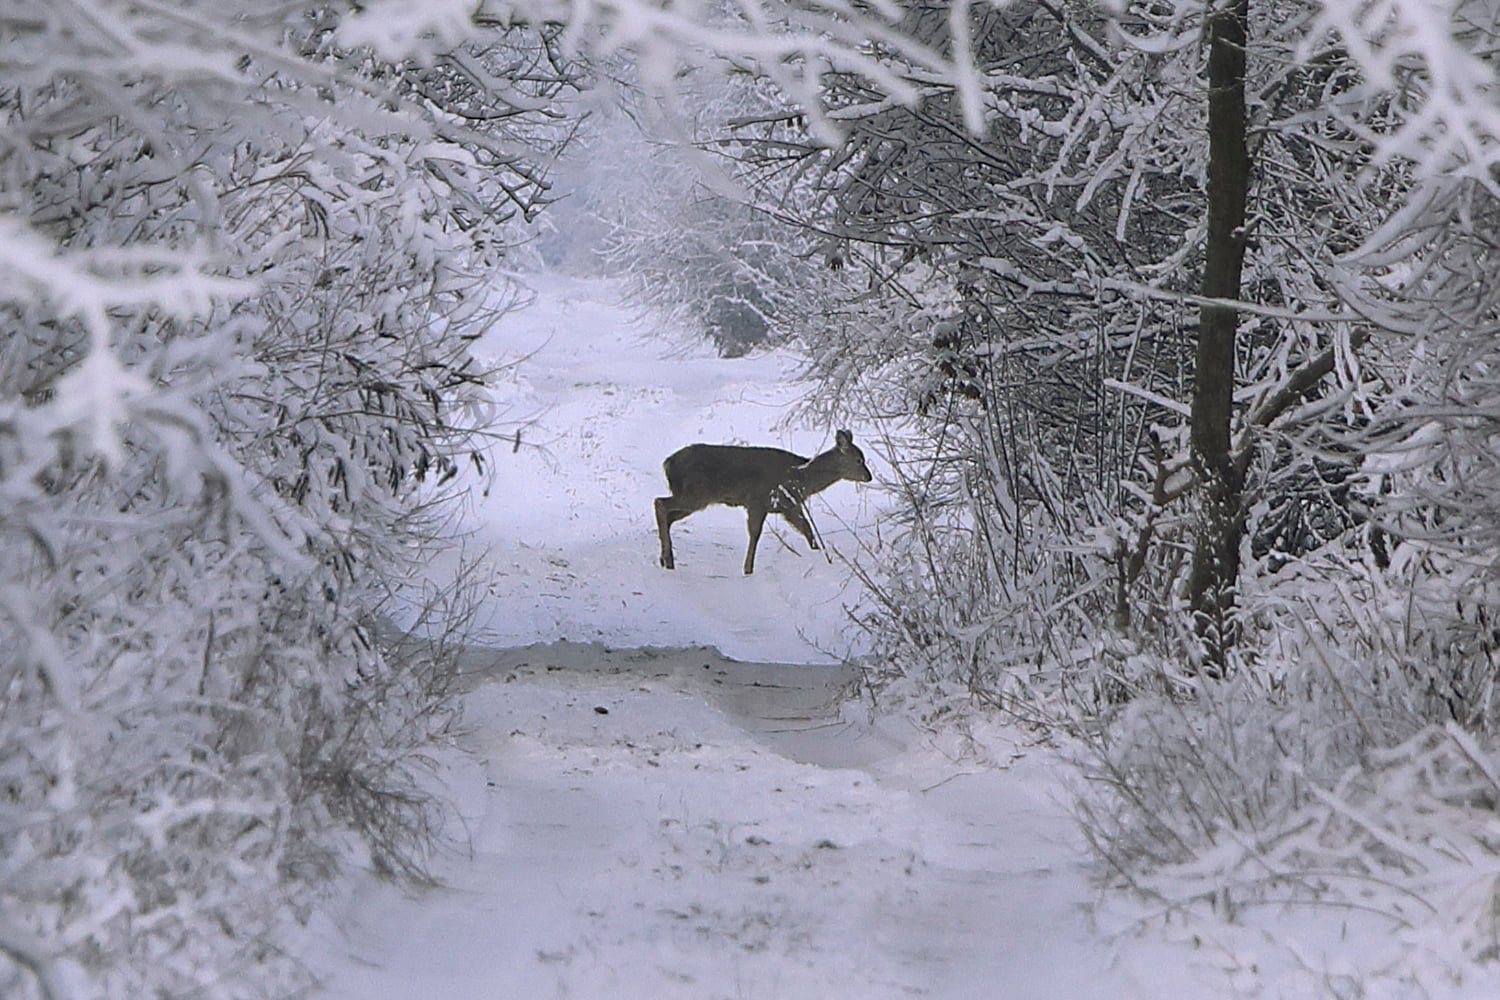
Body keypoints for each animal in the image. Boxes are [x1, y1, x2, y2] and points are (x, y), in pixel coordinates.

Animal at [651, 425, 876, 575]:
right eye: (859, 460)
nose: (869, 476)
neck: (800, 477)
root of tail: (667, 464)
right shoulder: (758, 501)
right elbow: (755, 534)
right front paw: (748, 569)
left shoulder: (787, 506)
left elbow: (806, 529)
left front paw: (819, 553)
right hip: (696, 493)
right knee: (660, 503)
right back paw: (668, 560)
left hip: (694, 497)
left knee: (667, 514)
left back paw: (664, 558)